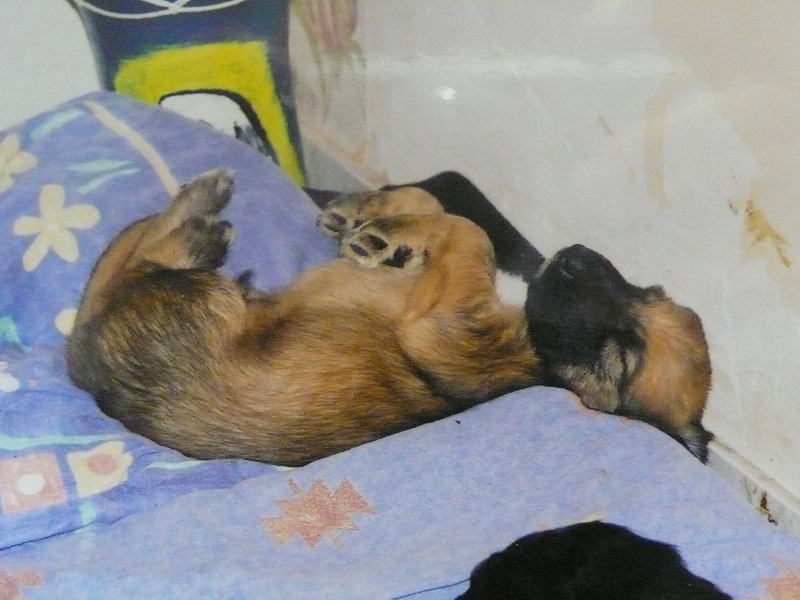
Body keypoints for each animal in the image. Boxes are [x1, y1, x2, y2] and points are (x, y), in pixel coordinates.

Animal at [66, 169, 712, 465]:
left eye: (621, 356)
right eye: (645, 290)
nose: (574, 256)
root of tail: (93, 379)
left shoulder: (446, 326)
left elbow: (469, 230)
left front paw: (390, 226)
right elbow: (440, 209)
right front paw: (385, 219)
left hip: (192, 300)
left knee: (130, 261)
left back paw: (203, 210)